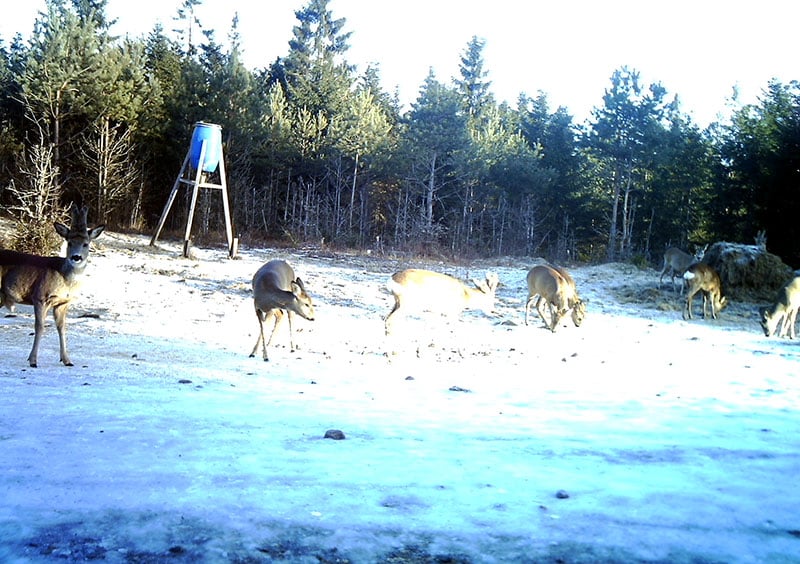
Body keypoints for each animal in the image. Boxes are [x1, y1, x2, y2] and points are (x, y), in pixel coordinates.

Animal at [0, 205, 104, 368]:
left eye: (86, 243)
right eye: (69, 242)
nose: (76, 257)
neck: (66, 280)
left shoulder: (63, 302)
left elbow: (62, 327)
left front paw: (67, 360)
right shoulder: (39, 296)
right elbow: (40, 327)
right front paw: (33, 360)